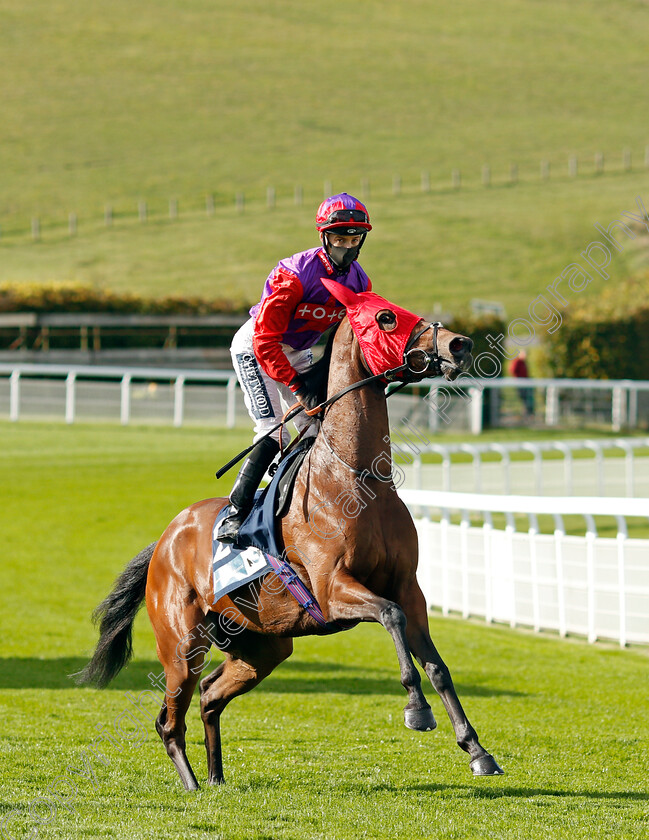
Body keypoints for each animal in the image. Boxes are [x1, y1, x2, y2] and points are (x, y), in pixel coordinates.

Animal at [76, 280, 502, 788]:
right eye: (385, 317)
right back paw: (193, 784)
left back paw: (216, 778)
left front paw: (477, 750)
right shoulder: (333, 589)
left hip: (263, 645)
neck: (355, 477)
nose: (459, 344)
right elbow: (391, 616)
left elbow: (436, 664)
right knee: (169, 718)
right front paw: (416, 709)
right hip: (181, 646)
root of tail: (164, 540)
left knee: (209, 696)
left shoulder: (408, 586)